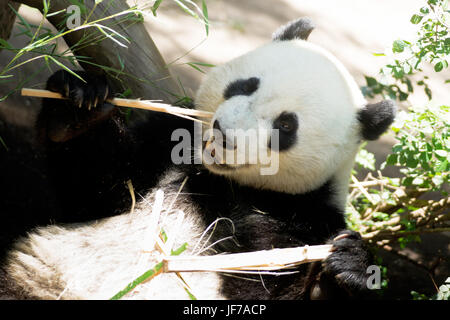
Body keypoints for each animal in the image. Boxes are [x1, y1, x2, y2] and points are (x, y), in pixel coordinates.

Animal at [0, 18, 396, 300]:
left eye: (286, 125)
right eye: (246, 85)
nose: (223, 132)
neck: (224, 181)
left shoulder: (305, 214)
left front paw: (343, 271)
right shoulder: (169, 143)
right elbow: (98, 194)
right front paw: (80, 104)